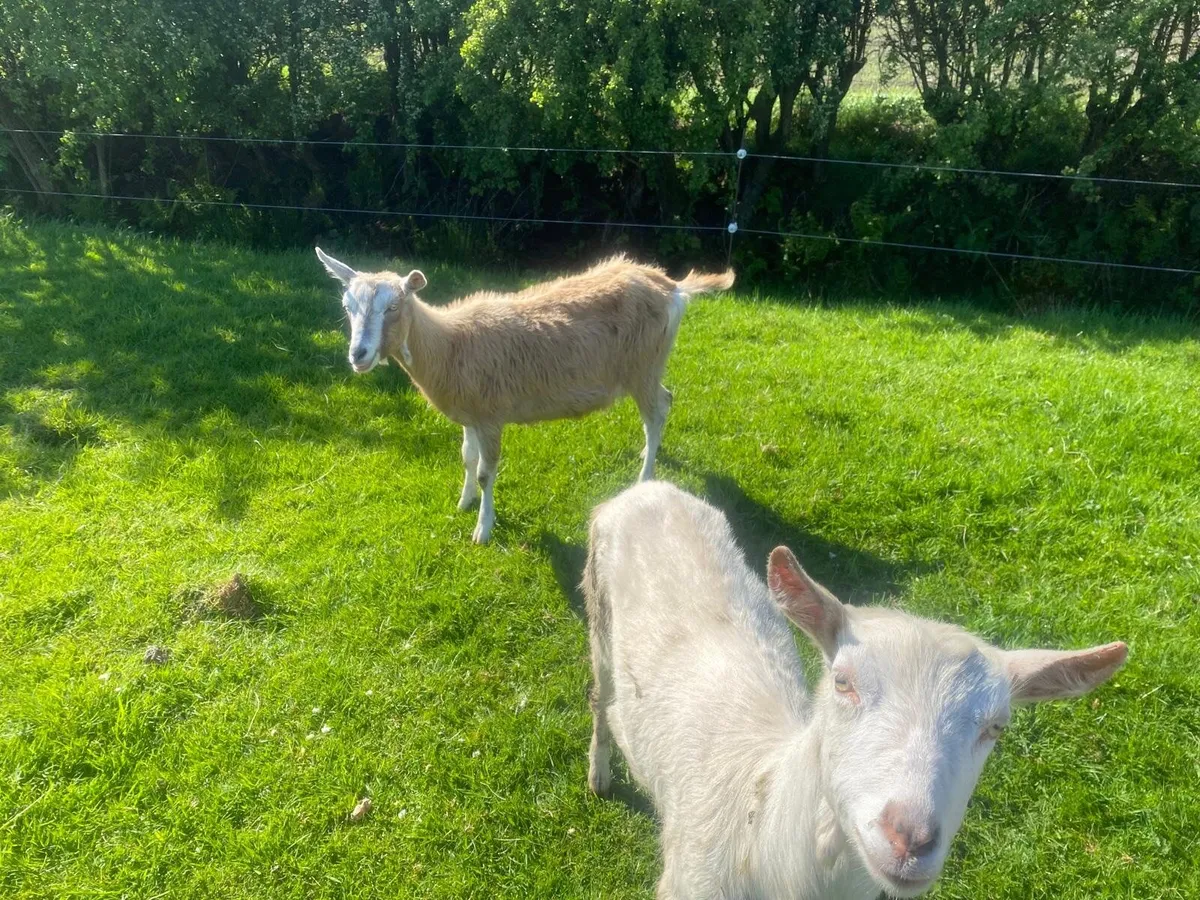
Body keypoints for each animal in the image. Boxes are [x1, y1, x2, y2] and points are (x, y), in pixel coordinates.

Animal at [315, 249, 734, 543]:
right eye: (347, 307)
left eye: (393, 306)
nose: (359, 356)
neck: (450, 346)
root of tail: (672, 287)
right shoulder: (470, 413)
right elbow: (467, 458)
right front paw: (463, 502)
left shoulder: (491, 415)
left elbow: (486, 472)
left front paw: (483, 529)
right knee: (666, 401)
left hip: (644, 365)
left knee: (657, 410)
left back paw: (644, 476)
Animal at [583, 481, 1128, 899]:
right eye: (842, 682)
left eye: (997, 726)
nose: (910, 839)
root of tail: (649, 488)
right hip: (598, 616)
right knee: (600, 700)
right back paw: (599, 776)